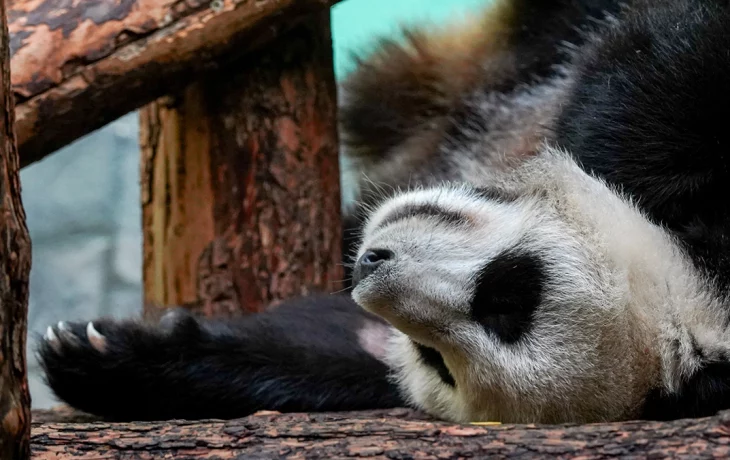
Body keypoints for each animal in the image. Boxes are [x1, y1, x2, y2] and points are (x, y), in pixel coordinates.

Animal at [35, 0, 730, 426]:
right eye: (511, 289)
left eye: (437, 360)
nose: (373, 264)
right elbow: (665, 65)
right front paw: (97, 350)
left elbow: (341, 350)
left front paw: (113, 356)